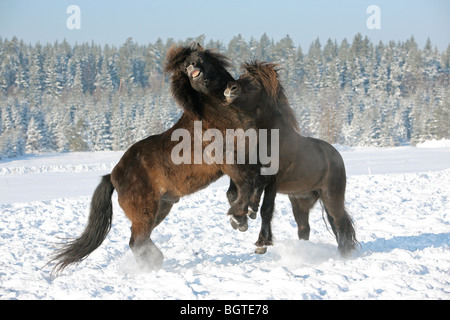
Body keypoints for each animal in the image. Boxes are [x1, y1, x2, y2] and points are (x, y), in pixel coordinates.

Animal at [48, 43, 260, 274]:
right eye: (185, 67)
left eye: (200, 57)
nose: (191, 65)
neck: (216, 113)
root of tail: (112, 175)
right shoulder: (229, 160)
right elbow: (246, 184)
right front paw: (239, 217)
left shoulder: (239, 159)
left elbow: (238, 189)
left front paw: (244, 216)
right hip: (146, 211)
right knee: (137, 240)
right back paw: (154, 263)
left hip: (161, 208)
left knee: (137, 239)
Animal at [223, 61, 356, 258]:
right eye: (242, 76)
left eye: (255, 83)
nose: (230, 89)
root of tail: (337, 156)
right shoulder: (245, 173)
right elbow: (233, 194)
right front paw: (240, 218)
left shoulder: (273, 180)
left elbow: (266, 209)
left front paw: (261, 242)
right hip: (300, 202)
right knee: (304, 228)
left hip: (332, 197)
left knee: (340, 223)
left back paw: (344, 254)